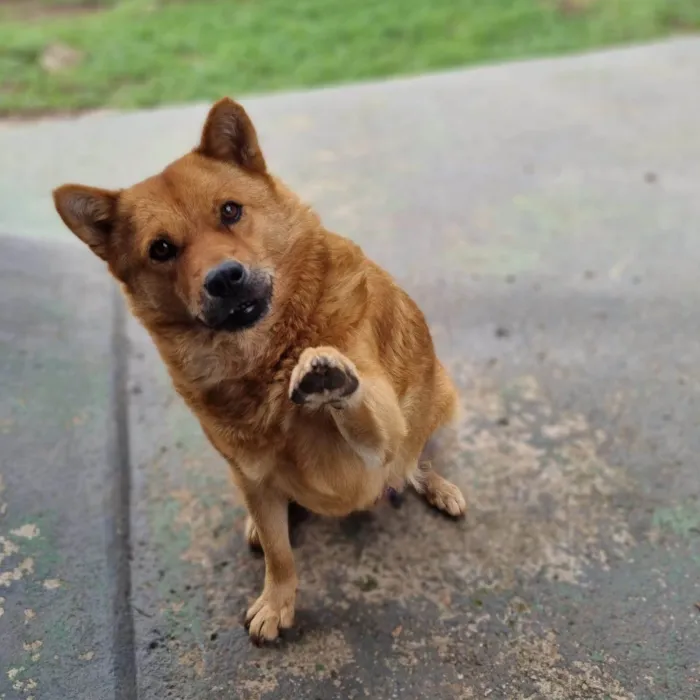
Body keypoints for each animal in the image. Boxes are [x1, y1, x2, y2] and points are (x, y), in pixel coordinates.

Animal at [53, 98, 464, 644]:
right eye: (161, 249)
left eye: (230, 211)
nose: (225, 279)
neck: (266, 354)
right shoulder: (250, 474)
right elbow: (278, 551)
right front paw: (277, 599)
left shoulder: (374, 446)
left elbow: (366, 415)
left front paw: (327, 374)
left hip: (440, 394)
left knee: (417, 455)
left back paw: (433, 482)